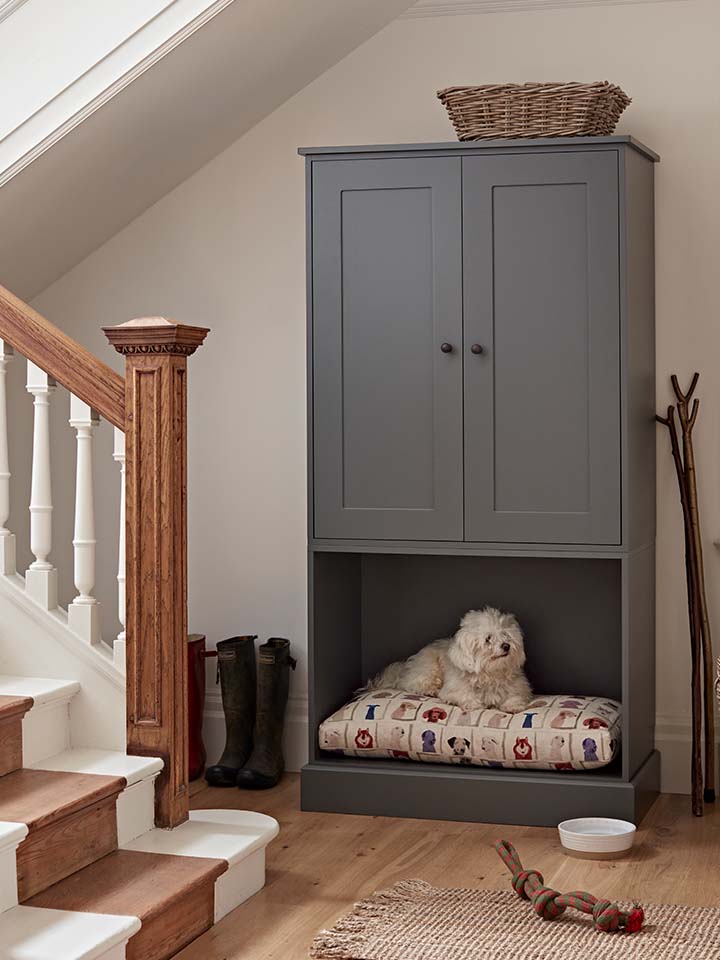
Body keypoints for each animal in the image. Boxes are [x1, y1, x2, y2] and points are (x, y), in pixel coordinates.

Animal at [368, 608, 532, 712]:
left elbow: (515, 695)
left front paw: (512, 705)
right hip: (429, 670)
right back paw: (431, 691)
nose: (506, 646)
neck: (491, 674)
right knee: (413, 684)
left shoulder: (519, 687)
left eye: (506, 635)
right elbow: (463, 695)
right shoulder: (453, 689)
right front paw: (473, 703)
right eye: (488, 639)